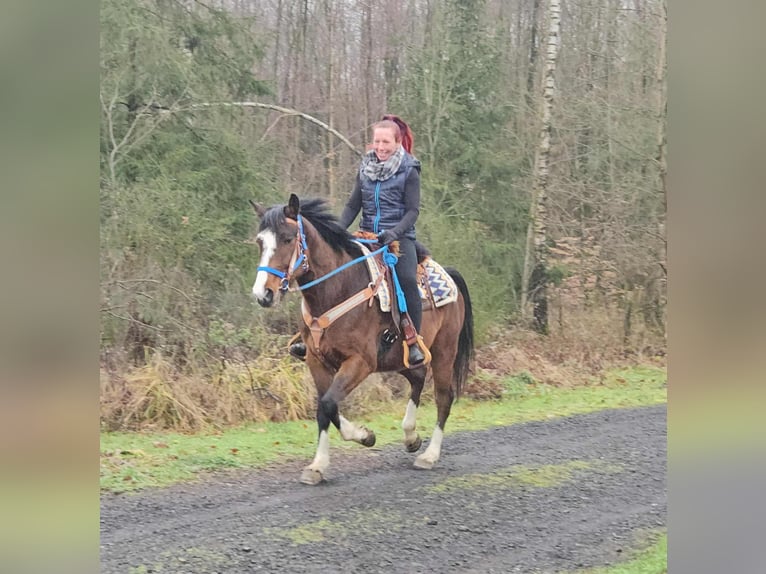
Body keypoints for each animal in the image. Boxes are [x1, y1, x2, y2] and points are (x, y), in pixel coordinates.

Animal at [250, 193, 474, 485]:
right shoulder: (316, 361)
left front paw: (360, 438)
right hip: (396, 359)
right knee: (417, 377)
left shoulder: (360, 362)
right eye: (260, 241)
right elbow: (326, 408)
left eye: (288, 238)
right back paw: (411, 436)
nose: (263, 294)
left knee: (444, 398)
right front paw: (321, 463)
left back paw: (429, 456)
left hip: (444, 352)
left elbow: (329, 404)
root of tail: (449, 274)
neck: (337, 289)